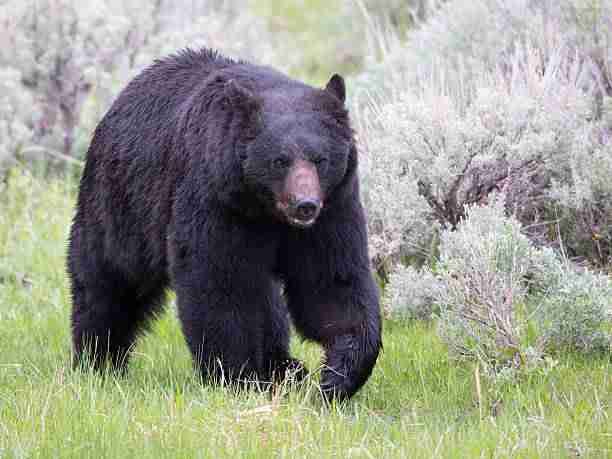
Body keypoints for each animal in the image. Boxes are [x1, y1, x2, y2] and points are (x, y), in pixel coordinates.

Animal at [68, 48, 382, 400]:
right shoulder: (215, 200)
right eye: (279, 160)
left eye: (320, 159)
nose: (305, 205)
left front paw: (337, 377)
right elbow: (219, 283)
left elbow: (331, 282)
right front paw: (237, 377)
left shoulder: (333, 210)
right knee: (108, 279)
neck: (264, 210)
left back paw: (285, 367)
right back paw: (98, 360)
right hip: (122, 204)